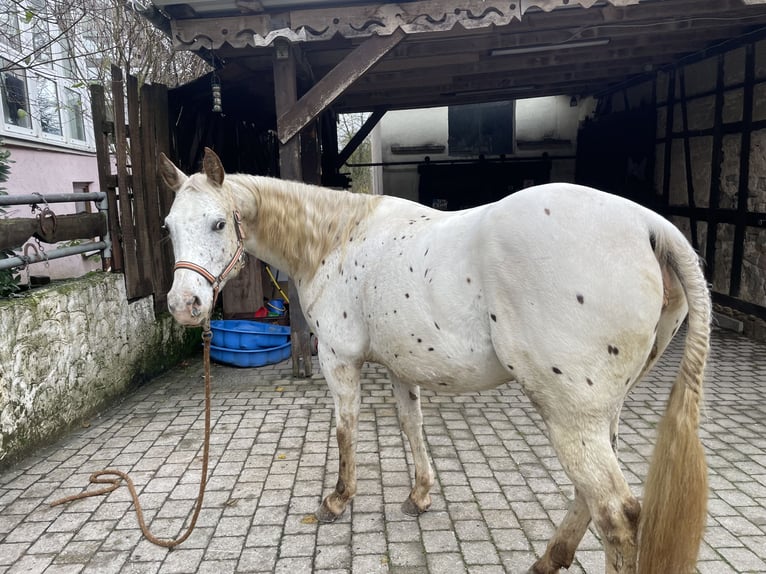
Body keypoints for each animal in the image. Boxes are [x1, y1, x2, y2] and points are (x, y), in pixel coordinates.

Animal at [159, 150, 712, 574]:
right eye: (168, 227)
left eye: (218, 223)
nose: (184, 305)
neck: (337, 239)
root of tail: (649, 226)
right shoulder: (402, 368)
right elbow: (412, 426)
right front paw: (420, 495)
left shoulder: (340, 361)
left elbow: (345, 428)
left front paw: (338, 500)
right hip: (599, 411)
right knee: (589, 495)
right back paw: (548, 559)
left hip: (570, 413)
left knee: (616, 514)